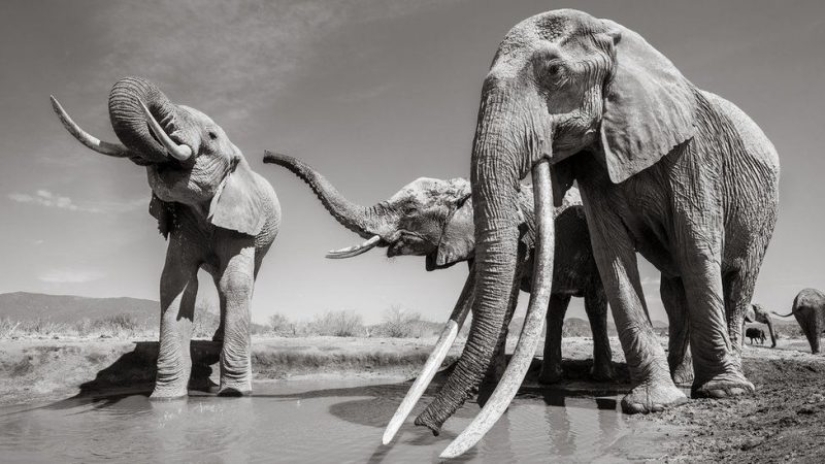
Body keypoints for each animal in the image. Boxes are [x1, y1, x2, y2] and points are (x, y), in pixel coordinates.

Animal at [51, 77, 280, 399]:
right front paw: (166, 398)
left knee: (236, 281)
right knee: (218, 281)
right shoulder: (183, 223)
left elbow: (235, 282)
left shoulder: (241, 220)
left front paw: (234, 394)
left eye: (211, 136)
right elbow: (176, 282)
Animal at [262, 152, 614, 388]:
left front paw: (485, 385)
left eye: (410, 210)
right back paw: (550, 380)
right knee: (556, 304)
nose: (265, 156)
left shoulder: (517, 237)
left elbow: (502, 299)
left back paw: (600, 377)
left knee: (594, 302)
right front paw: (485, 383)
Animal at [402, 10, 779, 457]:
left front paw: (720, 393)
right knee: (673, 290)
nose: (425, 429)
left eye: (554, 71)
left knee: (737, 280)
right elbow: (610, 252)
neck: (615, 37)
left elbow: (696, 243)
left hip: (764, 214)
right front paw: (655, 404)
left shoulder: (693, 152)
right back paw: (681, 380)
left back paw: (727, 382)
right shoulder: (595, 164)